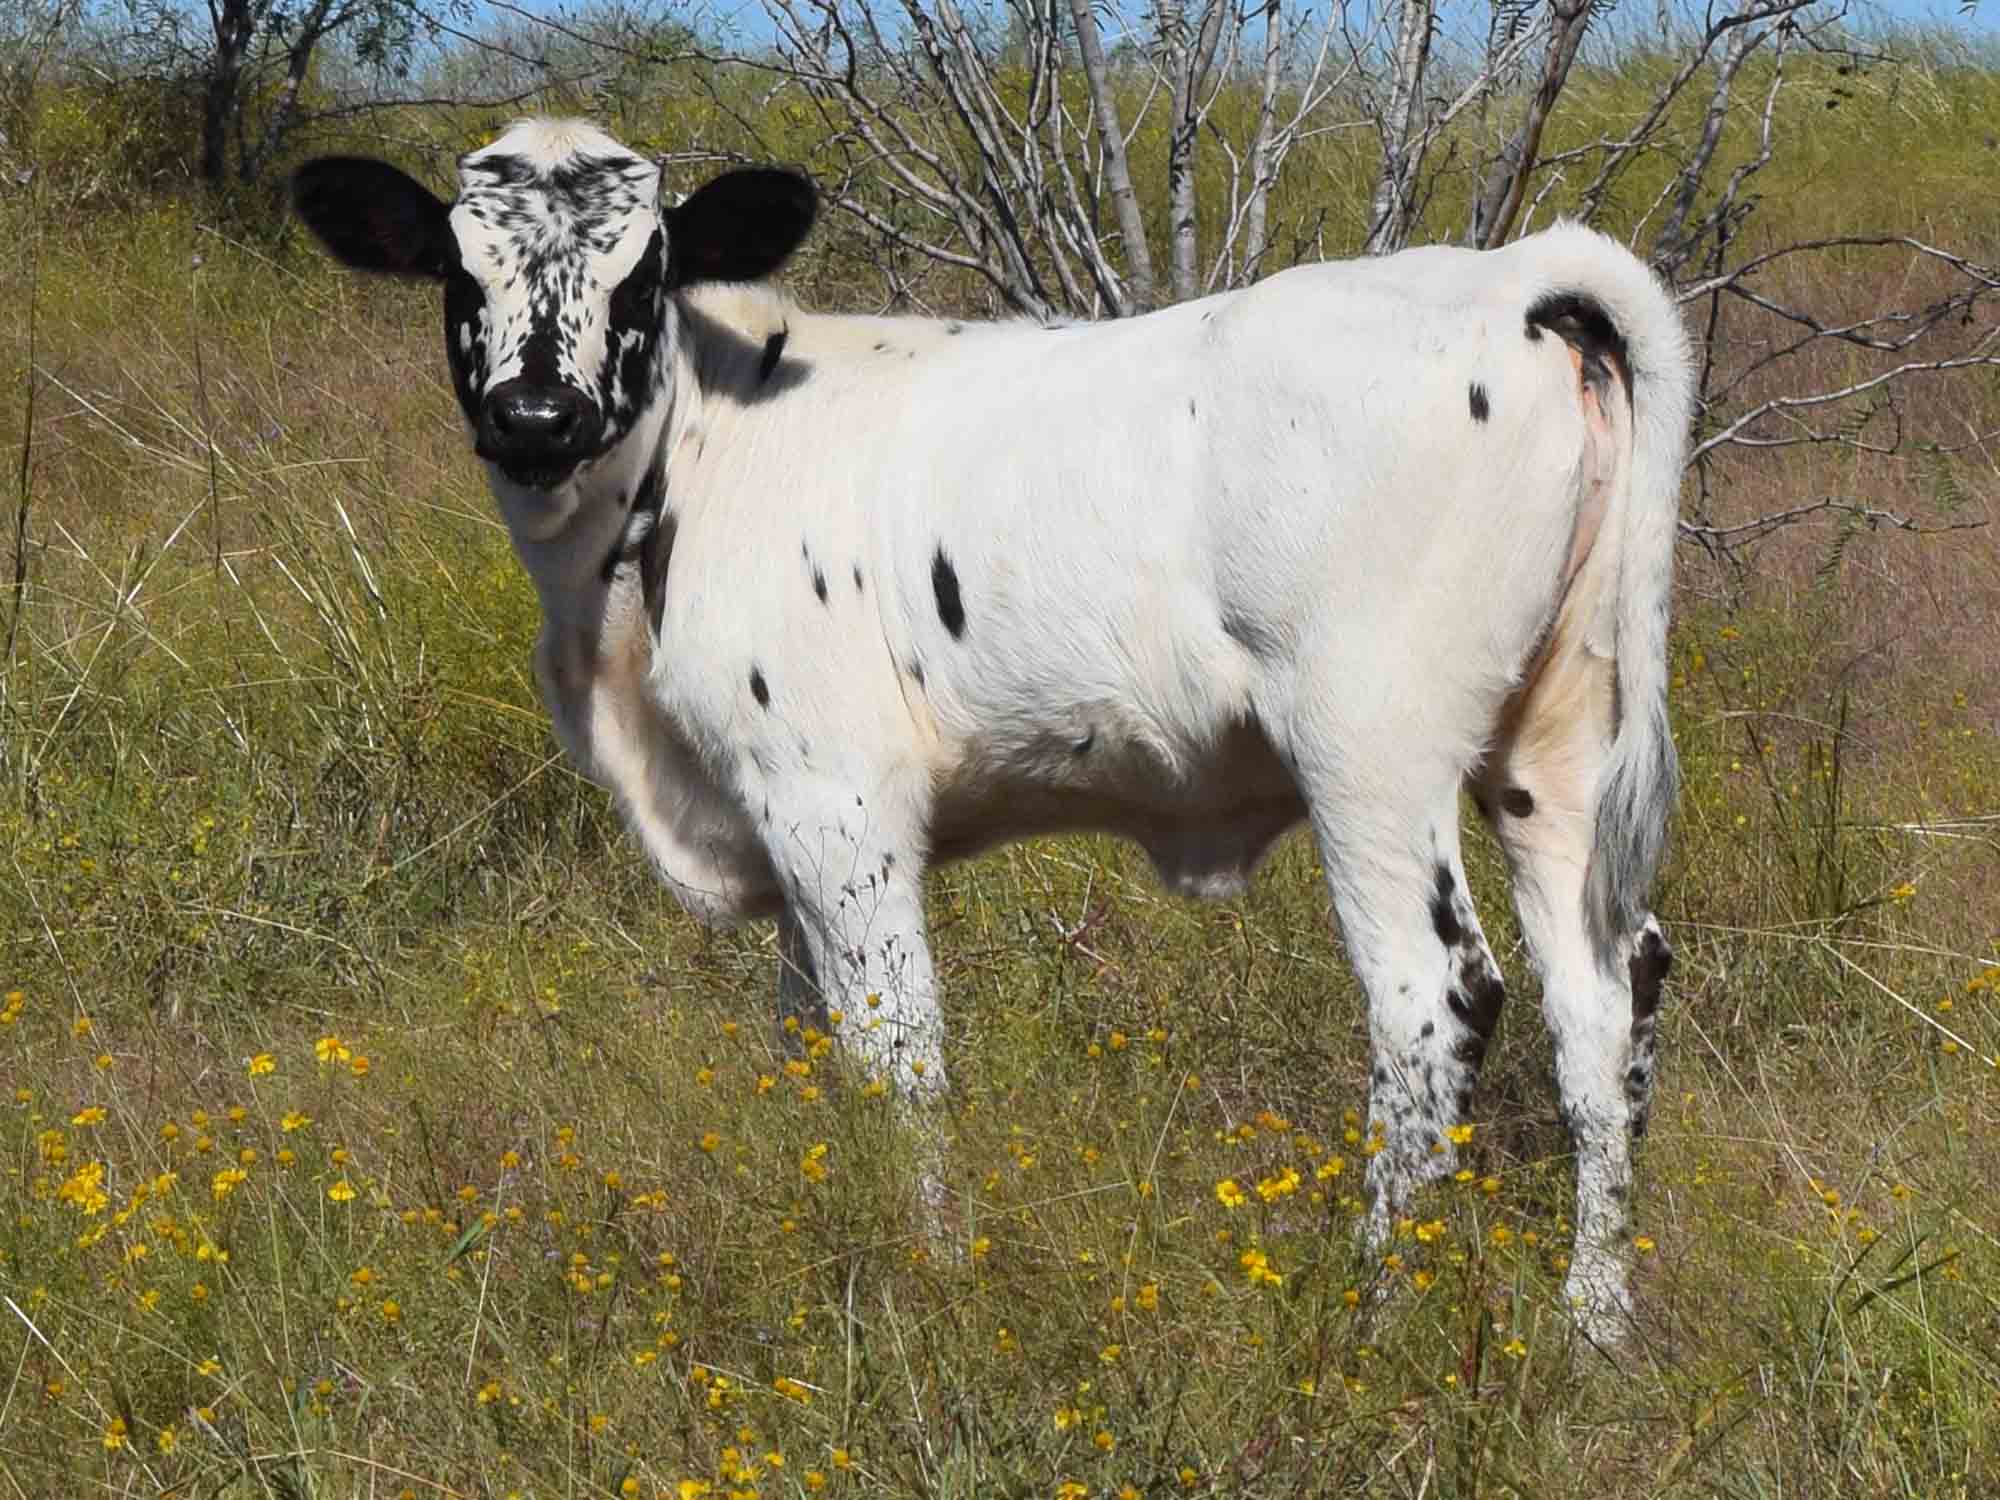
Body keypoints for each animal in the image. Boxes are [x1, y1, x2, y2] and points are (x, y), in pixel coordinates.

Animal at [296, 117, 1696, 1336]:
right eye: (455, 266)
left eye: (644, 267)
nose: (536, 417)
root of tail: (1509, 278)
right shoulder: (781, 818)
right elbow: (805, 1045)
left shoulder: (834, 799)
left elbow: (893, 1048)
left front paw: (926, 1274)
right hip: (1555, 744)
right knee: (1604, 995)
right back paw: (1593, 1319)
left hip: (1370, 745)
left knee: (1435, 999)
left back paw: (1369, 1316)